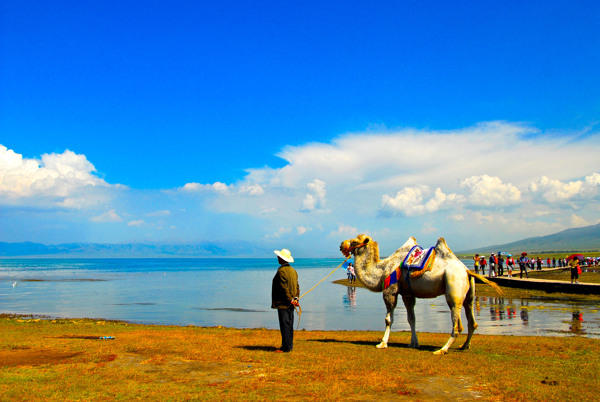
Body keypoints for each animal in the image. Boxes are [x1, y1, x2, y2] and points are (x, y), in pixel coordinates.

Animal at [338, 234, 502, 354]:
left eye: (354, 241)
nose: (341, 244)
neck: (381, 270)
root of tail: (467, 271)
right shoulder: (407, 294)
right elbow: (412, 319)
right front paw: (413, 343)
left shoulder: (390, 290)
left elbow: (388, 319)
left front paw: (382, 343)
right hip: (469, 294)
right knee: (472, 320)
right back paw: (464, 346)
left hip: (453, 287)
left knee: (457, 323)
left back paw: (442, 350)